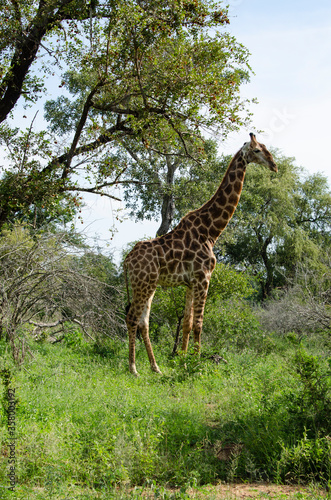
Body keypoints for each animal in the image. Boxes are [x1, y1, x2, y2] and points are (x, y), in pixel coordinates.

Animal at [124, 133, 278, 376]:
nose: (274, 166)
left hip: (149, 285)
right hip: (143, 284)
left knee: (142, 322)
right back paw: (133, 368)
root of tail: (127, 260)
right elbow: (198, 324)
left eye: (265, 147)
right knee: (131, 318)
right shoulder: (204, 277)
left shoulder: (190, 282)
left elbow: (186, 324)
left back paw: (155, 367)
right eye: (257, 150)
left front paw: (183, 362)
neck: (211, 231)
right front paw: (196, 365)